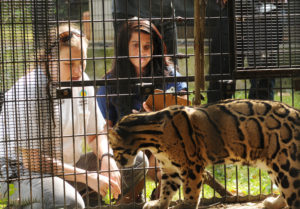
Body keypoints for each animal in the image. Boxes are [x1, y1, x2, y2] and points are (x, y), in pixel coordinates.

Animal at [108, 99, 300, 208]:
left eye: (113, 147)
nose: (118, 162)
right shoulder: (170, 169)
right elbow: (166, 189)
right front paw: (160, 203)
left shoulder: (191, 165)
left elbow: (190, 191)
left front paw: (187, 205)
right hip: (275, 163)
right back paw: (273, 203)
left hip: (288, 165)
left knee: (293, 194)